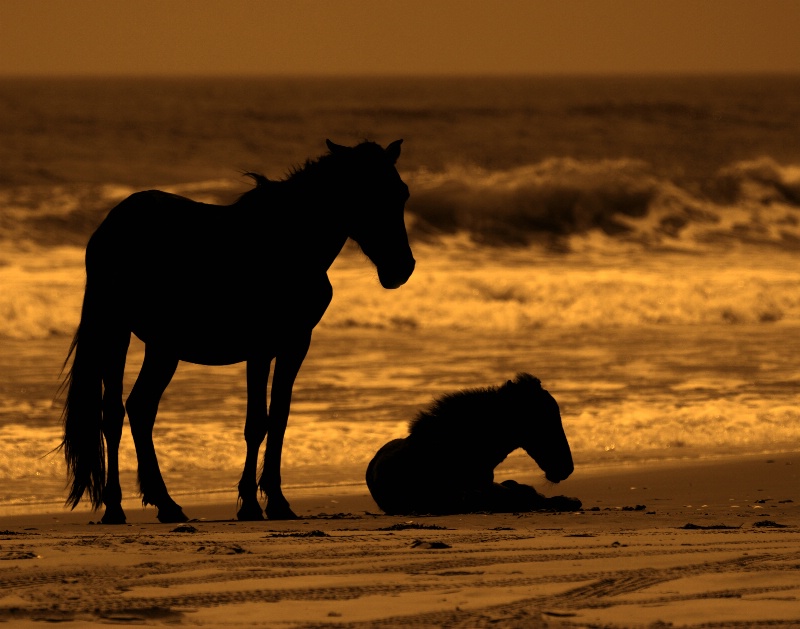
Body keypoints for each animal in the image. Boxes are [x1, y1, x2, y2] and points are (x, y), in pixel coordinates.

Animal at [59, 140, 416, 524]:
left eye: (401, 193)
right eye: (366, 193)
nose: (401, 268)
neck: (290, 245)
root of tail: (111, 225)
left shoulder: (294, 344)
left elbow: (279, 418)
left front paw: (277, 501)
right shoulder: (259, 349)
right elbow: (256, 423)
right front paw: (250, 504)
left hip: (159, 345)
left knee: (137, 409)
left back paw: (158, 504)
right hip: (119, 330)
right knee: (117, 413)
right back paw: (124, 506)